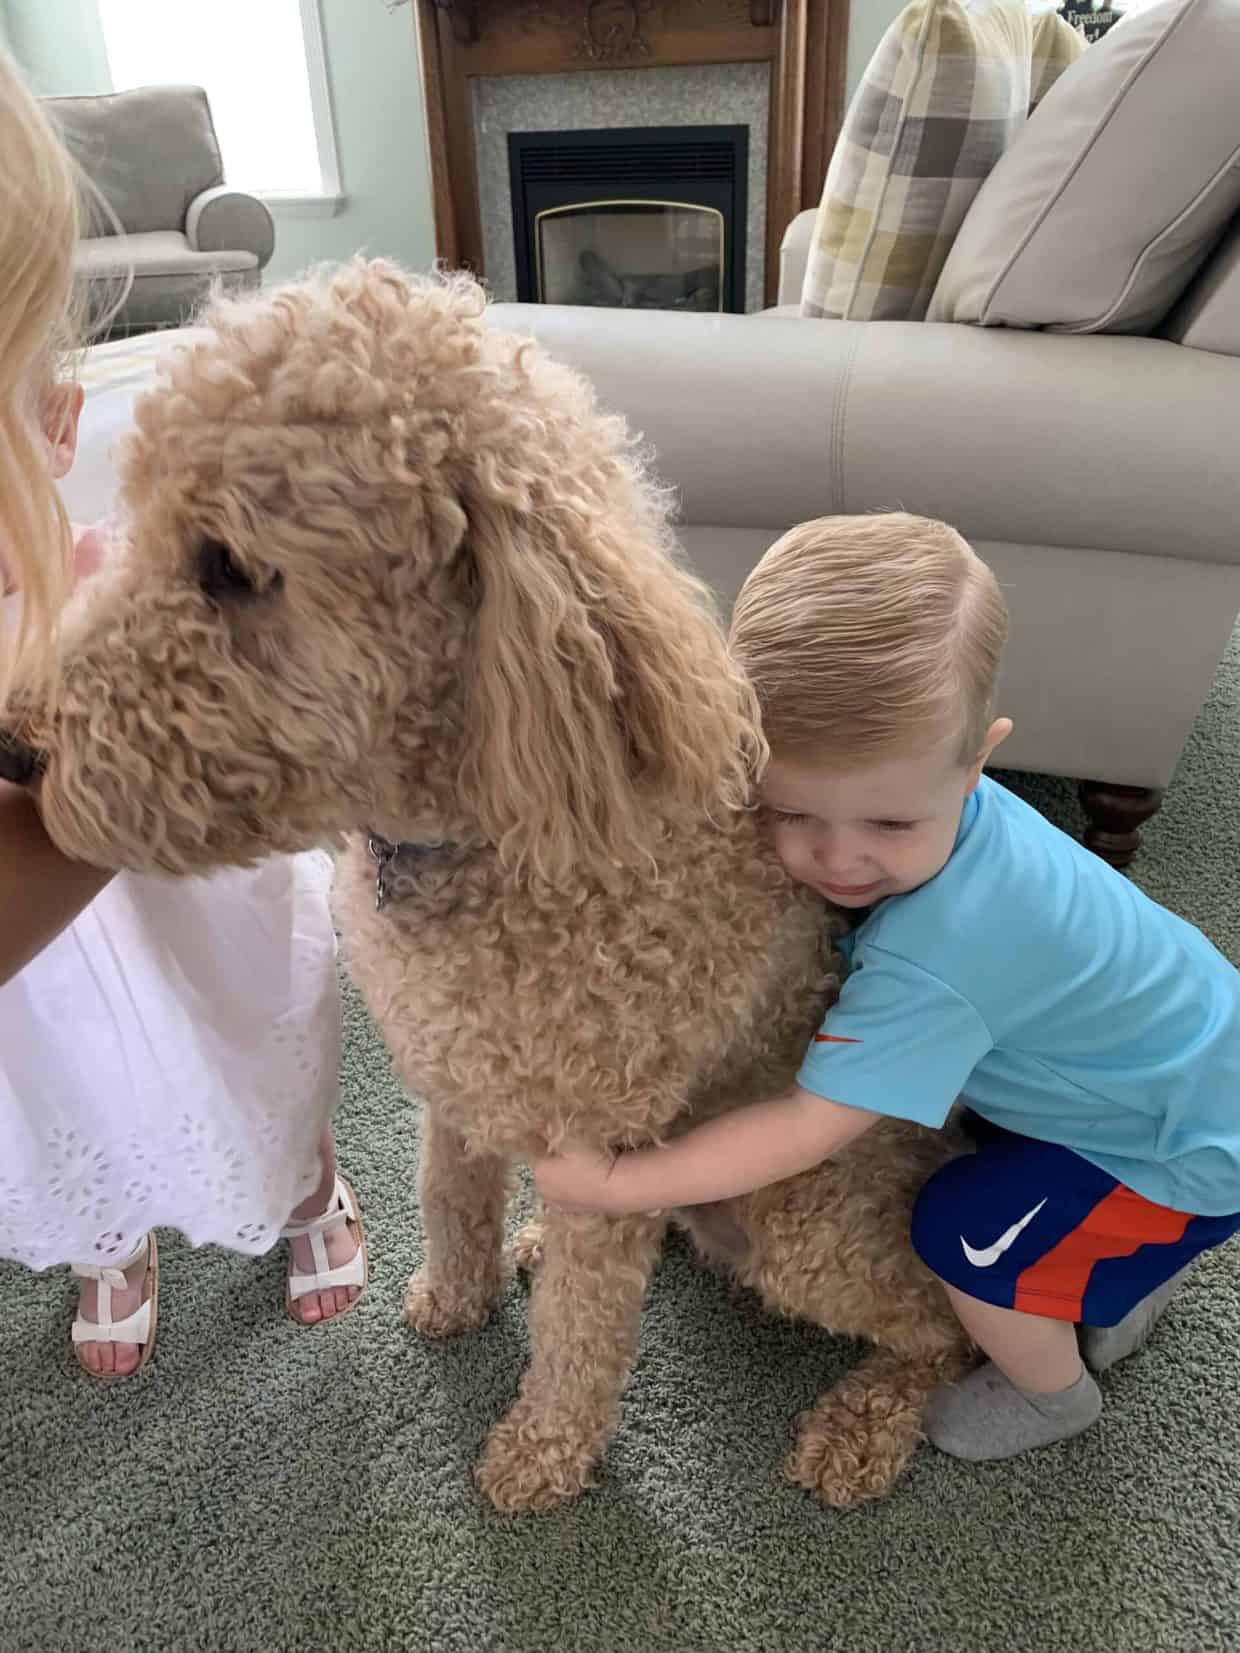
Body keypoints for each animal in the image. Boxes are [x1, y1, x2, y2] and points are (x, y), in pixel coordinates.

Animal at [4, 257, 978, 1514]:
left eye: (227, 565)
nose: (14, 750)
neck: (471, 839)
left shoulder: (592, 1141)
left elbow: (580, 1329)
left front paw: (542, 1450)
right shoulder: (454, 1091)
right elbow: (450, 1203)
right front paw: (454, 1300)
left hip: (802, 1212)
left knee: (939, 1329)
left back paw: (860, 1428)